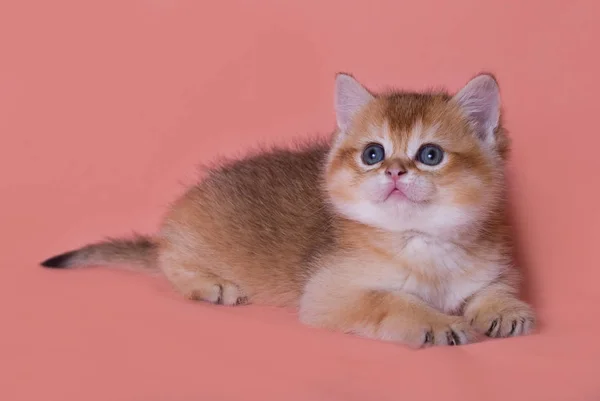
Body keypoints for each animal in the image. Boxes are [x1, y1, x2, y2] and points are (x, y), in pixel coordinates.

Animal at [41, 72, 536, 346]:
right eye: (372, 154)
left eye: (430, 155)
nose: (394, 171)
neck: (422, 242)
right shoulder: (329, 294)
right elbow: (390, 300)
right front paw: (435, 321)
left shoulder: (486, 268)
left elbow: (492, 289)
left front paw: (505, 310)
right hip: (185, 242)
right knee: (169, 262)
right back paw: (212, 284)